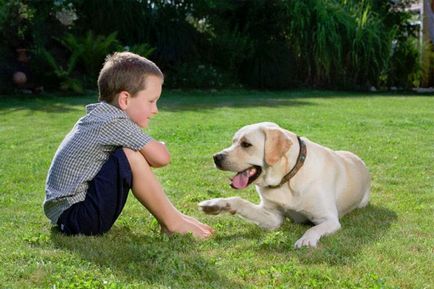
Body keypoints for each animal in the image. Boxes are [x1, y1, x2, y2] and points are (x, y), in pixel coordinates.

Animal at [198, 121, 372, 248]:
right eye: (233, 142)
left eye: (246, 144)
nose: (216, 157)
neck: (287, 178)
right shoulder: (273, 217)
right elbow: (240, 202)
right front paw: (216, 204)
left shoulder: (329, 219)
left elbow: (314, 228)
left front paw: (306, 240)